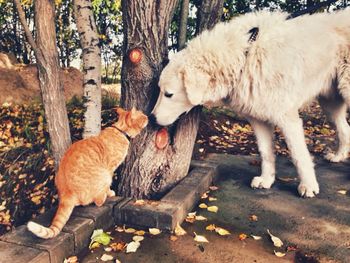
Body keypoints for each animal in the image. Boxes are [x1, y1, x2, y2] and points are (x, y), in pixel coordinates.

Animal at [27, 107, 148, 239]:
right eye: (142, 116)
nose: (148, 116)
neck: (120, 131)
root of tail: (66, 192)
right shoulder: (110, 168)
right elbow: (108, 187)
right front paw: (110, 192)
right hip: (104, 175)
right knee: (97, 201)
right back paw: (105, 196)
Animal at [151, 9, 350, 198]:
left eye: (168, 94)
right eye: (159, 91)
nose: (151, 118)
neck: (245, 55)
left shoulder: (287, 118)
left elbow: (298, 154)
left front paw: (308, 186)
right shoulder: (258, 118)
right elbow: (266, 152)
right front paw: (267, 180)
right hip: (330, 104)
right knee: (344, 129)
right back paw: (338, 156)